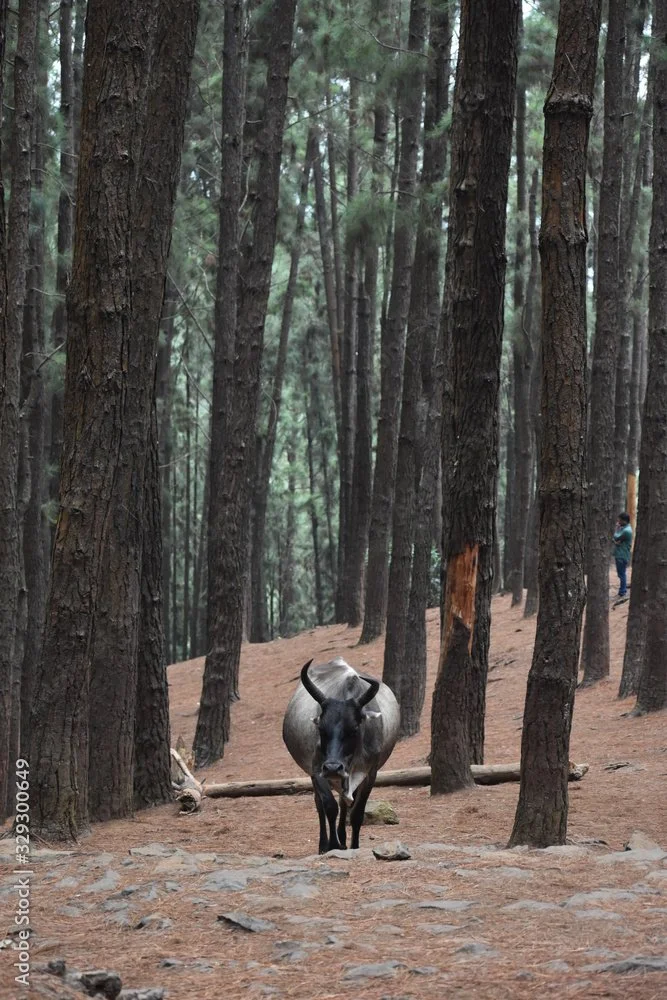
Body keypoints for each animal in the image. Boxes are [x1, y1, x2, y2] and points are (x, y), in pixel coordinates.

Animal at [282, 657, 400, 853]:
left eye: (354, 729)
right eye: (321, 729)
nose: (333, 767)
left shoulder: (370, 774)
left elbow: (357, 813)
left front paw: (353, 846)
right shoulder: (317, 770)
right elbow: (329, 807)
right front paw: (332, 845)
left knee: (344, 802)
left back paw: (343, 839)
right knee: (320, 804)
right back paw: (325, 844)